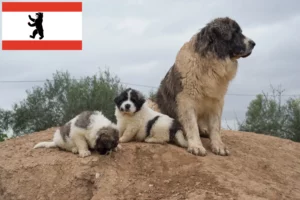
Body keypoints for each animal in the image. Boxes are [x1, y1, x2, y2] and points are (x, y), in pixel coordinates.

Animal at [148, 16, 255, 156]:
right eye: (235, 32)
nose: (254, 43)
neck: (210, 63)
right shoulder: (186, 100)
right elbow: (192, 125)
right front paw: (196, 146)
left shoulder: (217, 102)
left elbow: (215, 126)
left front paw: (219, 146)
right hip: (152, 104)